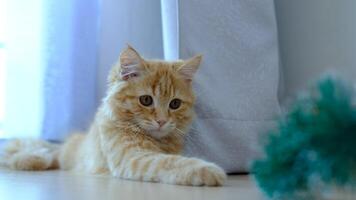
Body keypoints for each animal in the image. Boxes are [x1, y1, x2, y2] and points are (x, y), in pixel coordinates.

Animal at [0, 45, 225, 186]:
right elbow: (169, 162)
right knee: (47, 152)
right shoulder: (133, 156)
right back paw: (29, 159)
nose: (161, 121)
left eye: (175, 104)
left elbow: (172, 159)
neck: (157, 141)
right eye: (146, 100)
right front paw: (210, 171)